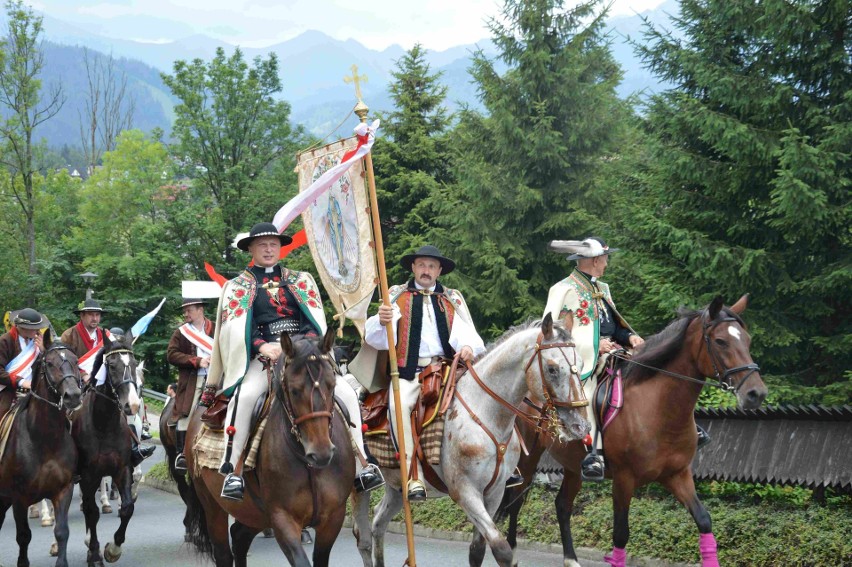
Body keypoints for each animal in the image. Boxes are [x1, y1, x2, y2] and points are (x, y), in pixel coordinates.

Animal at [0, 342, 83, 567]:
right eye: (50, 363)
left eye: (75, 361)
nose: (73, 395)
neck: (45, 438)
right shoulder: (19, 497)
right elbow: (23, 535)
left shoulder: (63, 490)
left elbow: (62, 531)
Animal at [186, 328, 356, 567]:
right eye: (294, 390)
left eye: (332, 386)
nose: (321, 453)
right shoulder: (281, 518)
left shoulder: (333, 518)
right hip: (212, 504)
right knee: (223, 552)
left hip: (253, 513)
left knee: (239, 536)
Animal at [496, 296, 768, 567]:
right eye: (721, 341)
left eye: (747, 340)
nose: (756, 393)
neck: (658, 409)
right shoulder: (624, 479)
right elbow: (620, 534)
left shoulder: (677, 475)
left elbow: (704, 521)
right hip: (528, 458)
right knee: (516, 500)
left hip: (573, 466)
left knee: (562, 505)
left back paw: (571, 559)